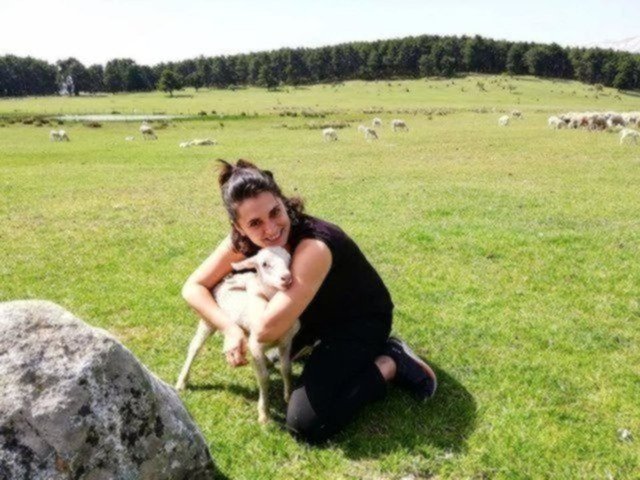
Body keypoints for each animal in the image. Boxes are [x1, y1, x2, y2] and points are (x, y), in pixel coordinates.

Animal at [176, 246, 300, 423]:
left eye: (289, 259)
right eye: (264, 264)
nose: (286, 277)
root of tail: (223, 280)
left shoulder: (286, 342)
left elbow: (286, 368)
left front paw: (288, 396)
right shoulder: (256, 346)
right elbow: (263, 378)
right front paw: (264, 414)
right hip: (208, 321)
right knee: (195, 347)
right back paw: (182, 381)